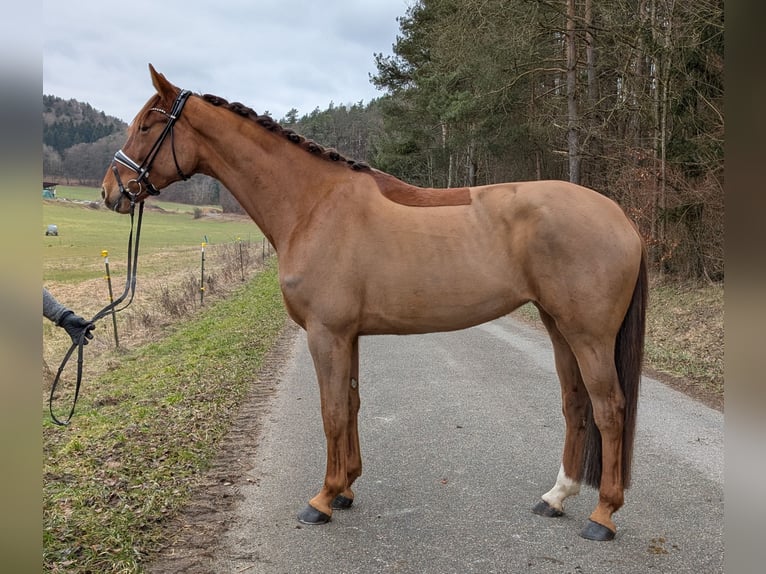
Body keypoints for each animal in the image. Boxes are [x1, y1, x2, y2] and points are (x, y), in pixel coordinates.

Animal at [100, 67, 648, 544]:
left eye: (147, 124)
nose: (111, 191)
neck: (313, 205)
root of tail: (621, 217)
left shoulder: (326, 333)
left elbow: (331, 411)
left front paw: (322, 500)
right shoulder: (349, 335)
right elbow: (352, 404)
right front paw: (345, 489)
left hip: (588, 335)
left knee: (609, 409)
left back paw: (603, 515)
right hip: (558, 326)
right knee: (575, 404)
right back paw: (556, 497)